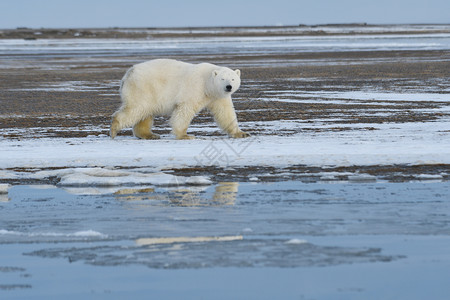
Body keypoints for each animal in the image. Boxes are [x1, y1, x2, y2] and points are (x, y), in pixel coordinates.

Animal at [109, 59, 250, 140]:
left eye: (233, 79)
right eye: (222, 79)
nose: (228, 87)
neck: (207, 84)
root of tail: (128, 74)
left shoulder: (218, 96)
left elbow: (225, 113)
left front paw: (241, 133)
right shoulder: (195, 88)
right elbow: (184, 110)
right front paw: (185, 135)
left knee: (145, 113)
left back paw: (150, 135)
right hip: (143, 88)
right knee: (137, 108)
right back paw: (114, 129)